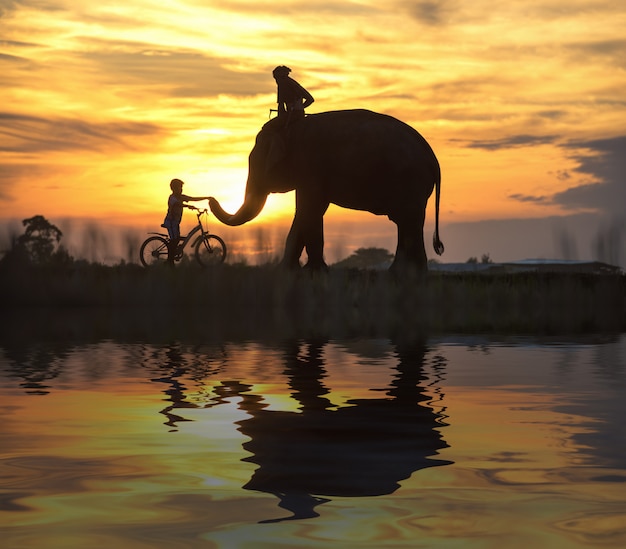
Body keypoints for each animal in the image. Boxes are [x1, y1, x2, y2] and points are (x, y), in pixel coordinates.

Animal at [210, 109, 444, 272]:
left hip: (411, 181)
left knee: (408, 222)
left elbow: (309, 209)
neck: (290, 126)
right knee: (407, 223)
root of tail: (433, 160)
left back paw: (404, 275)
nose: (211, 199)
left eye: (254, 162)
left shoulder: (310, 166)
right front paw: (287, 271)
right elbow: (307, 212)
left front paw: (314, 271)